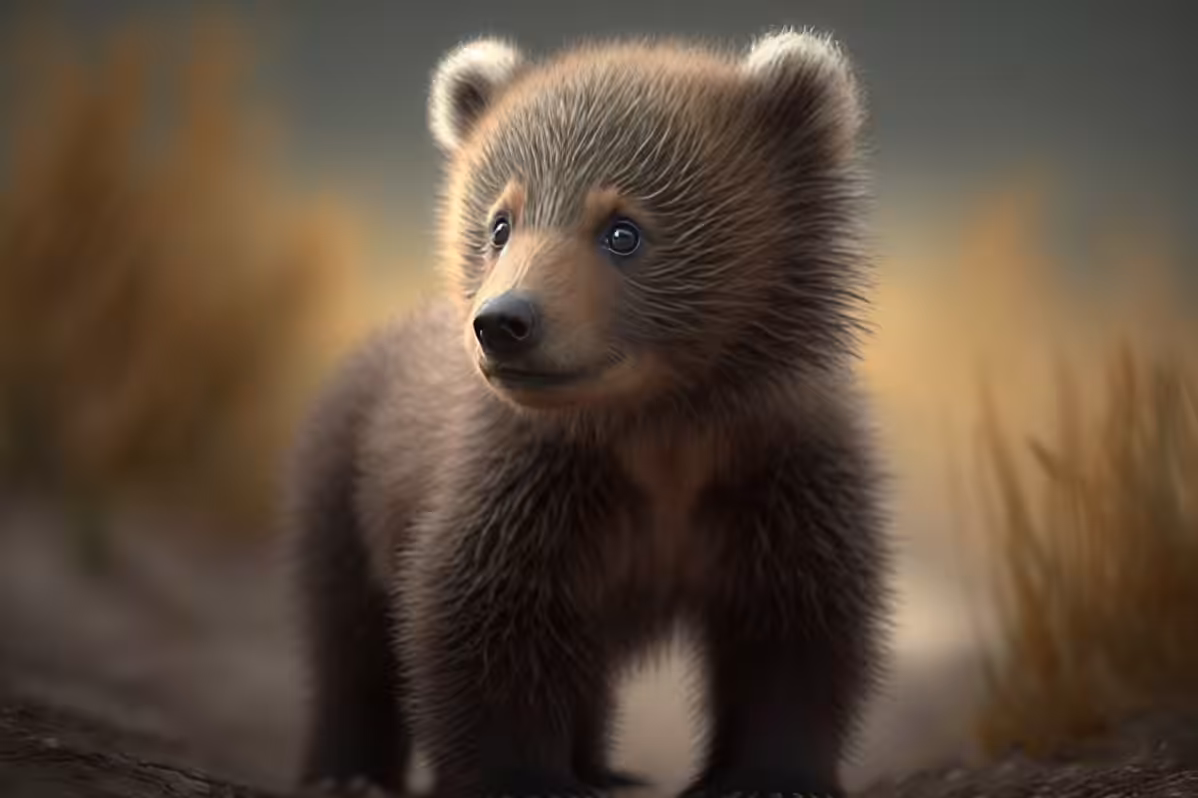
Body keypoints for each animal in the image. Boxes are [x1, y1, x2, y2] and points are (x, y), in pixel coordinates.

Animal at [287, 27, 891, 798]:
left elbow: (795, 627)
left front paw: (770, 772)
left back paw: (606, 770)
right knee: (349, 644)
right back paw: (347, 772)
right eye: (501, 223)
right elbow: (485, 625)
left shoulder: (778, 467)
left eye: (623, 230)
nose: (504, 322)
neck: (660, 426)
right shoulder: (526, 482)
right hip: (343, 483)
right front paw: (520, 775)